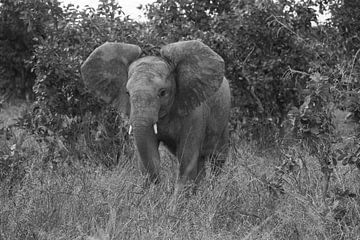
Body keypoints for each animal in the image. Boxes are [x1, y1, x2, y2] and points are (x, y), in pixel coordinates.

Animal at [81, 39, 231, 186]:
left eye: (163, 92)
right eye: (127, 93)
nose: (160, 185)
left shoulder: (195, 111)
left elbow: (187, 157)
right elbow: (149, 149)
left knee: (217, 159)